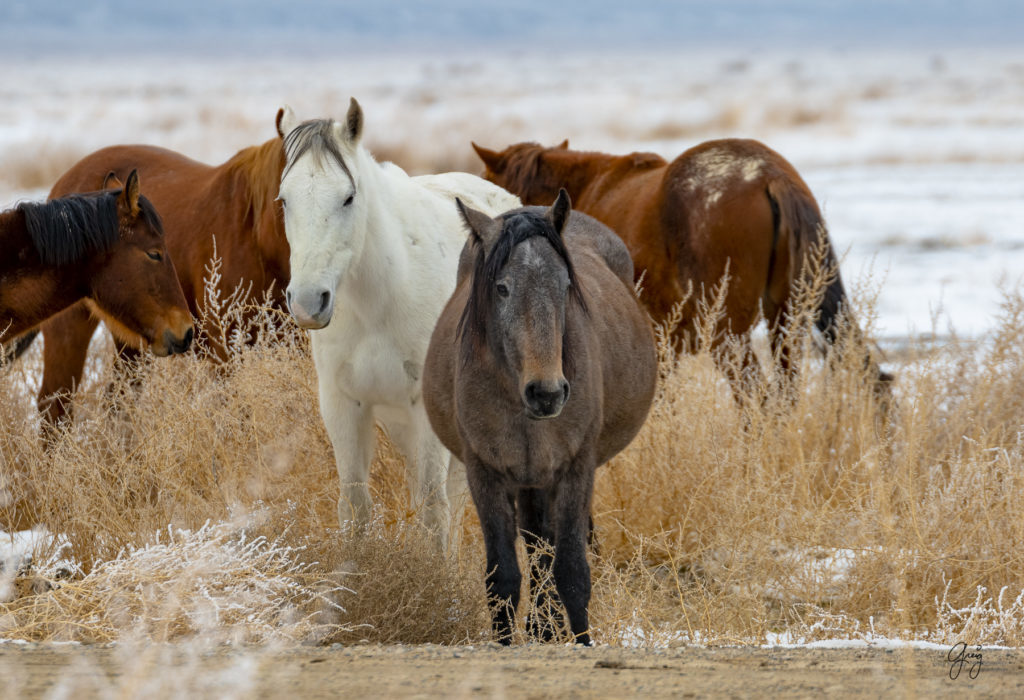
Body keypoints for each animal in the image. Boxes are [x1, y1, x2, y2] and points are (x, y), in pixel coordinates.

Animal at [276, 99, 520, 548]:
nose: (307, 302)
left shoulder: (427, 409)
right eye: (285, 201)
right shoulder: (342, 404)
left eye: (348, 198)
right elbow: (355, 506)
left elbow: (434, 510)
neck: (381, 301)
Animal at [421, 187, 655, 646]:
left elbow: (573, 572)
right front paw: (506, 642)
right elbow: (503, 578)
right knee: (535, 544)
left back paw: (547, 626)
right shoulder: (485, 472)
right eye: (501, 288)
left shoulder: (575, 469)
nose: (547, 393)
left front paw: (581, 641)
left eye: (565, 285)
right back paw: (542, 626)